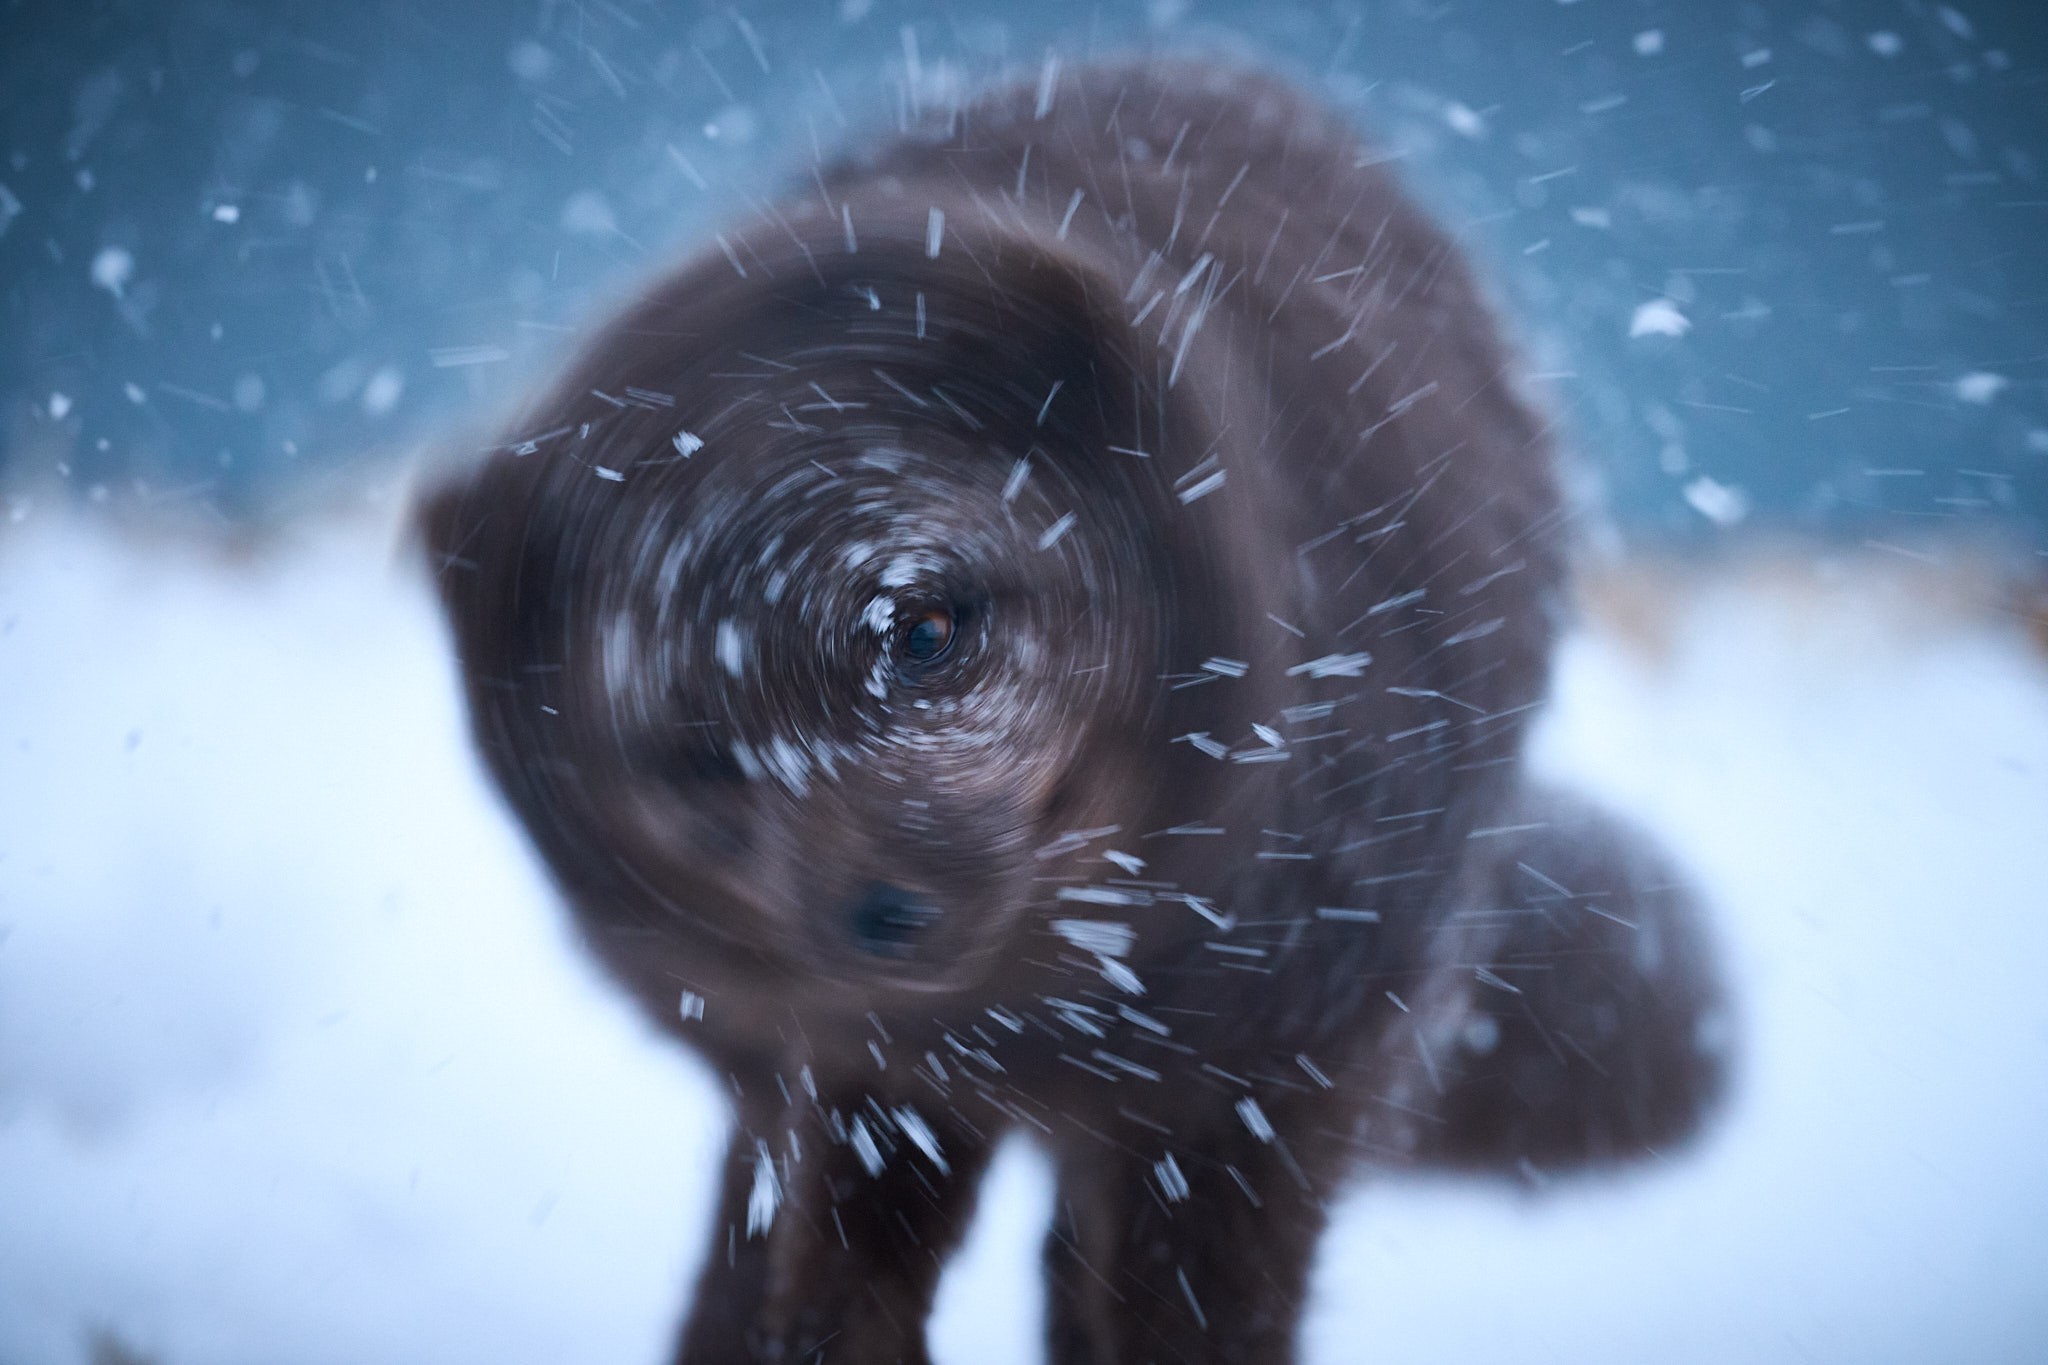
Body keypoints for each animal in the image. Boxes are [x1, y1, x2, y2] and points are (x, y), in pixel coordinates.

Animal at [419, 58, 1728, 1358]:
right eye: (698, 760)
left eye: (922, 629)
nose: (880, 919)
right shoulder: (868, 1072)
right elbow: (839, 1278)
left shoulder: (1264, 1092)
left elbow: (1195, 1317)